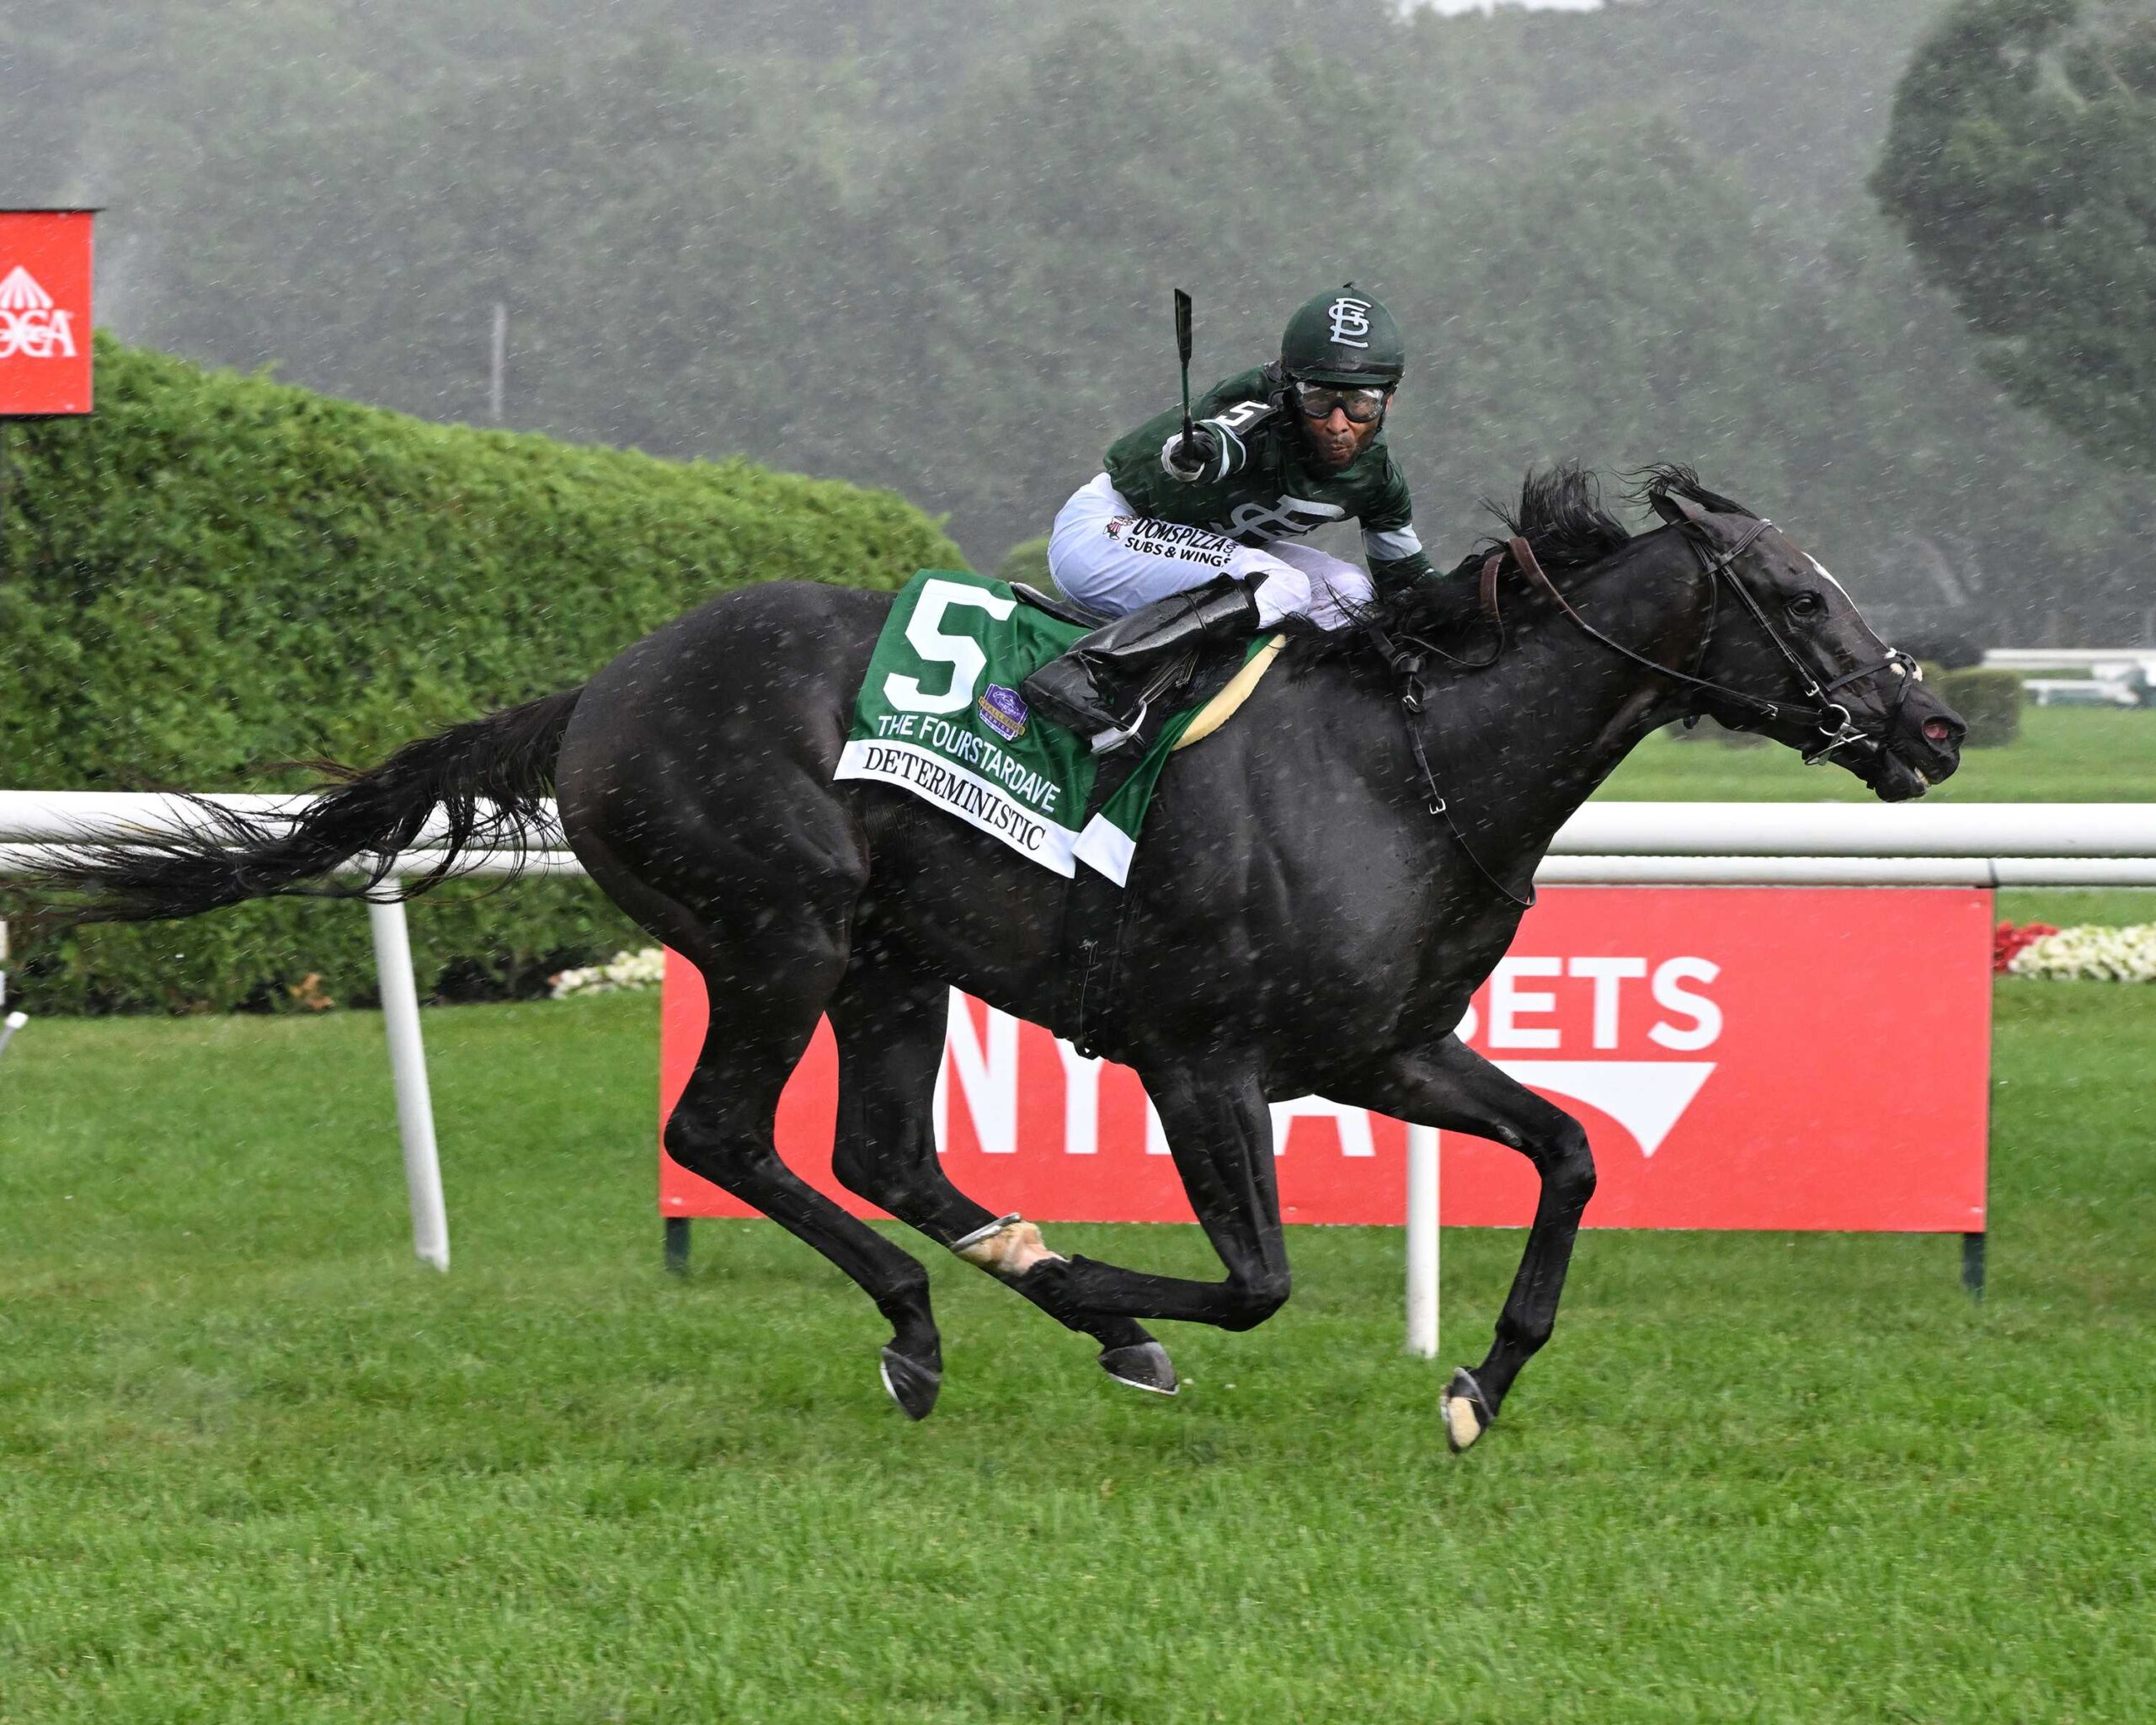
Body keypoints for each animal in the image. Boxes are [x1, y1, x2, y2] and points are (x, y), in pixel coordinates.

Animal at [30, 466, 1966, 1450]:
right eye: (1799, 597)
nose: (1932, 726)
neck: (1408, 763)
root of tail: (596, 690)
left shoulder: (1379, 1049)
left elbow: (1566, 1147)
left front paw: (1478, 1380)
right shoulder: (1201, 1058)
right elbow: (1256, 1280)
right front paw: (1113, 1290)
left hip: (892, 955)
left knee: (877, 1147)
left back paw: (991, 1295)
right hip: (783, 925)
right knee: (726, 1135)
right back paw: (947, 1314)